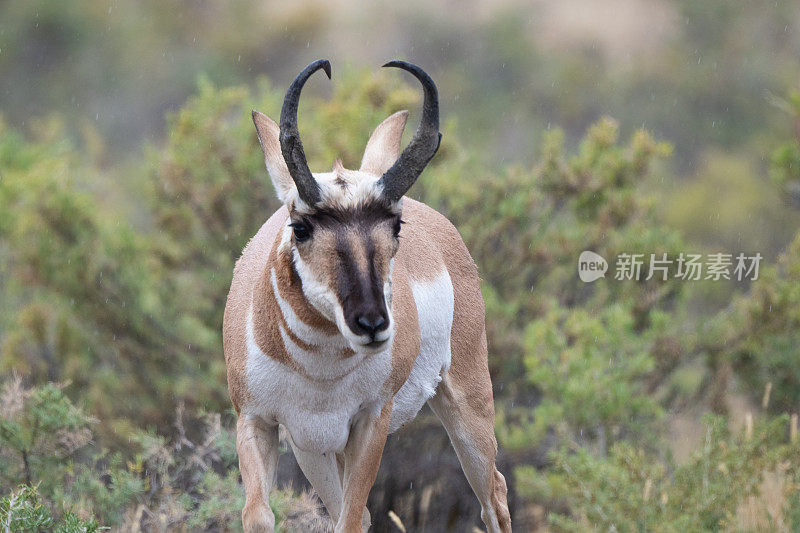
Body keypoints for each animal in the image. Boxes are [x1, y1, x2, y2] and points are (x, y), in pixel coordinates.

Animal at [223, 59, 512, 532]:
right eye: (299, 226)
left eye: (395, 224)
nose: (372, 324)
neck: (319, 369)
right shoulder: (260, 422)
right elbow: (259, 516)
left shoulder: (370, 425)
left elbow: (352, 519)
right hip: (316, 452)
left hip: (467, 406)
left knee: (494, 496)